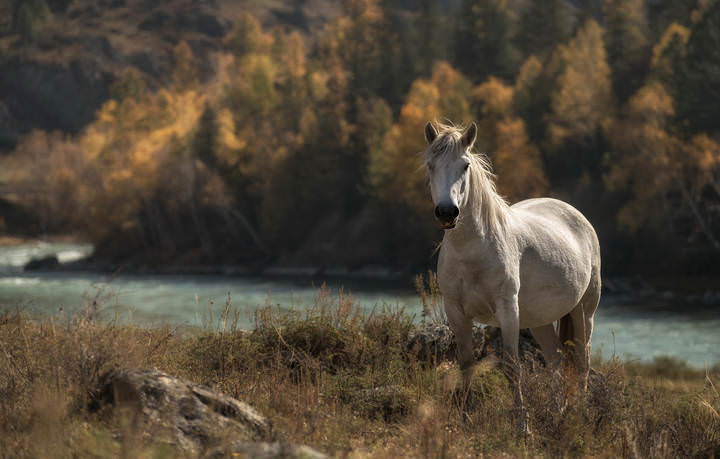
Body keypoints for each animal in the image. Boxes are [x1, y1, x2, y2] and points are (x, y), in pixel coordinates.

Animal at [423, 121, 601, 431]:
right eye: (431, 165)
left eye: (465, 165)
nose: (447, 212)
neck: (473, 251)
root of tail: (578, 216)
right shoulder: (456, 311)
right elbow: (466, 364)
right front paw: (465, 419)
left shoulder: (507, 309)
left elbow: (512, 367)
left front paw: (522, 426)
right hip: (540, 320)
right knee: (555, 360)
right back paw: (557, 413)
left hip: (583, 312)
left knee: (581, 363)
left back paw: (579, 416)